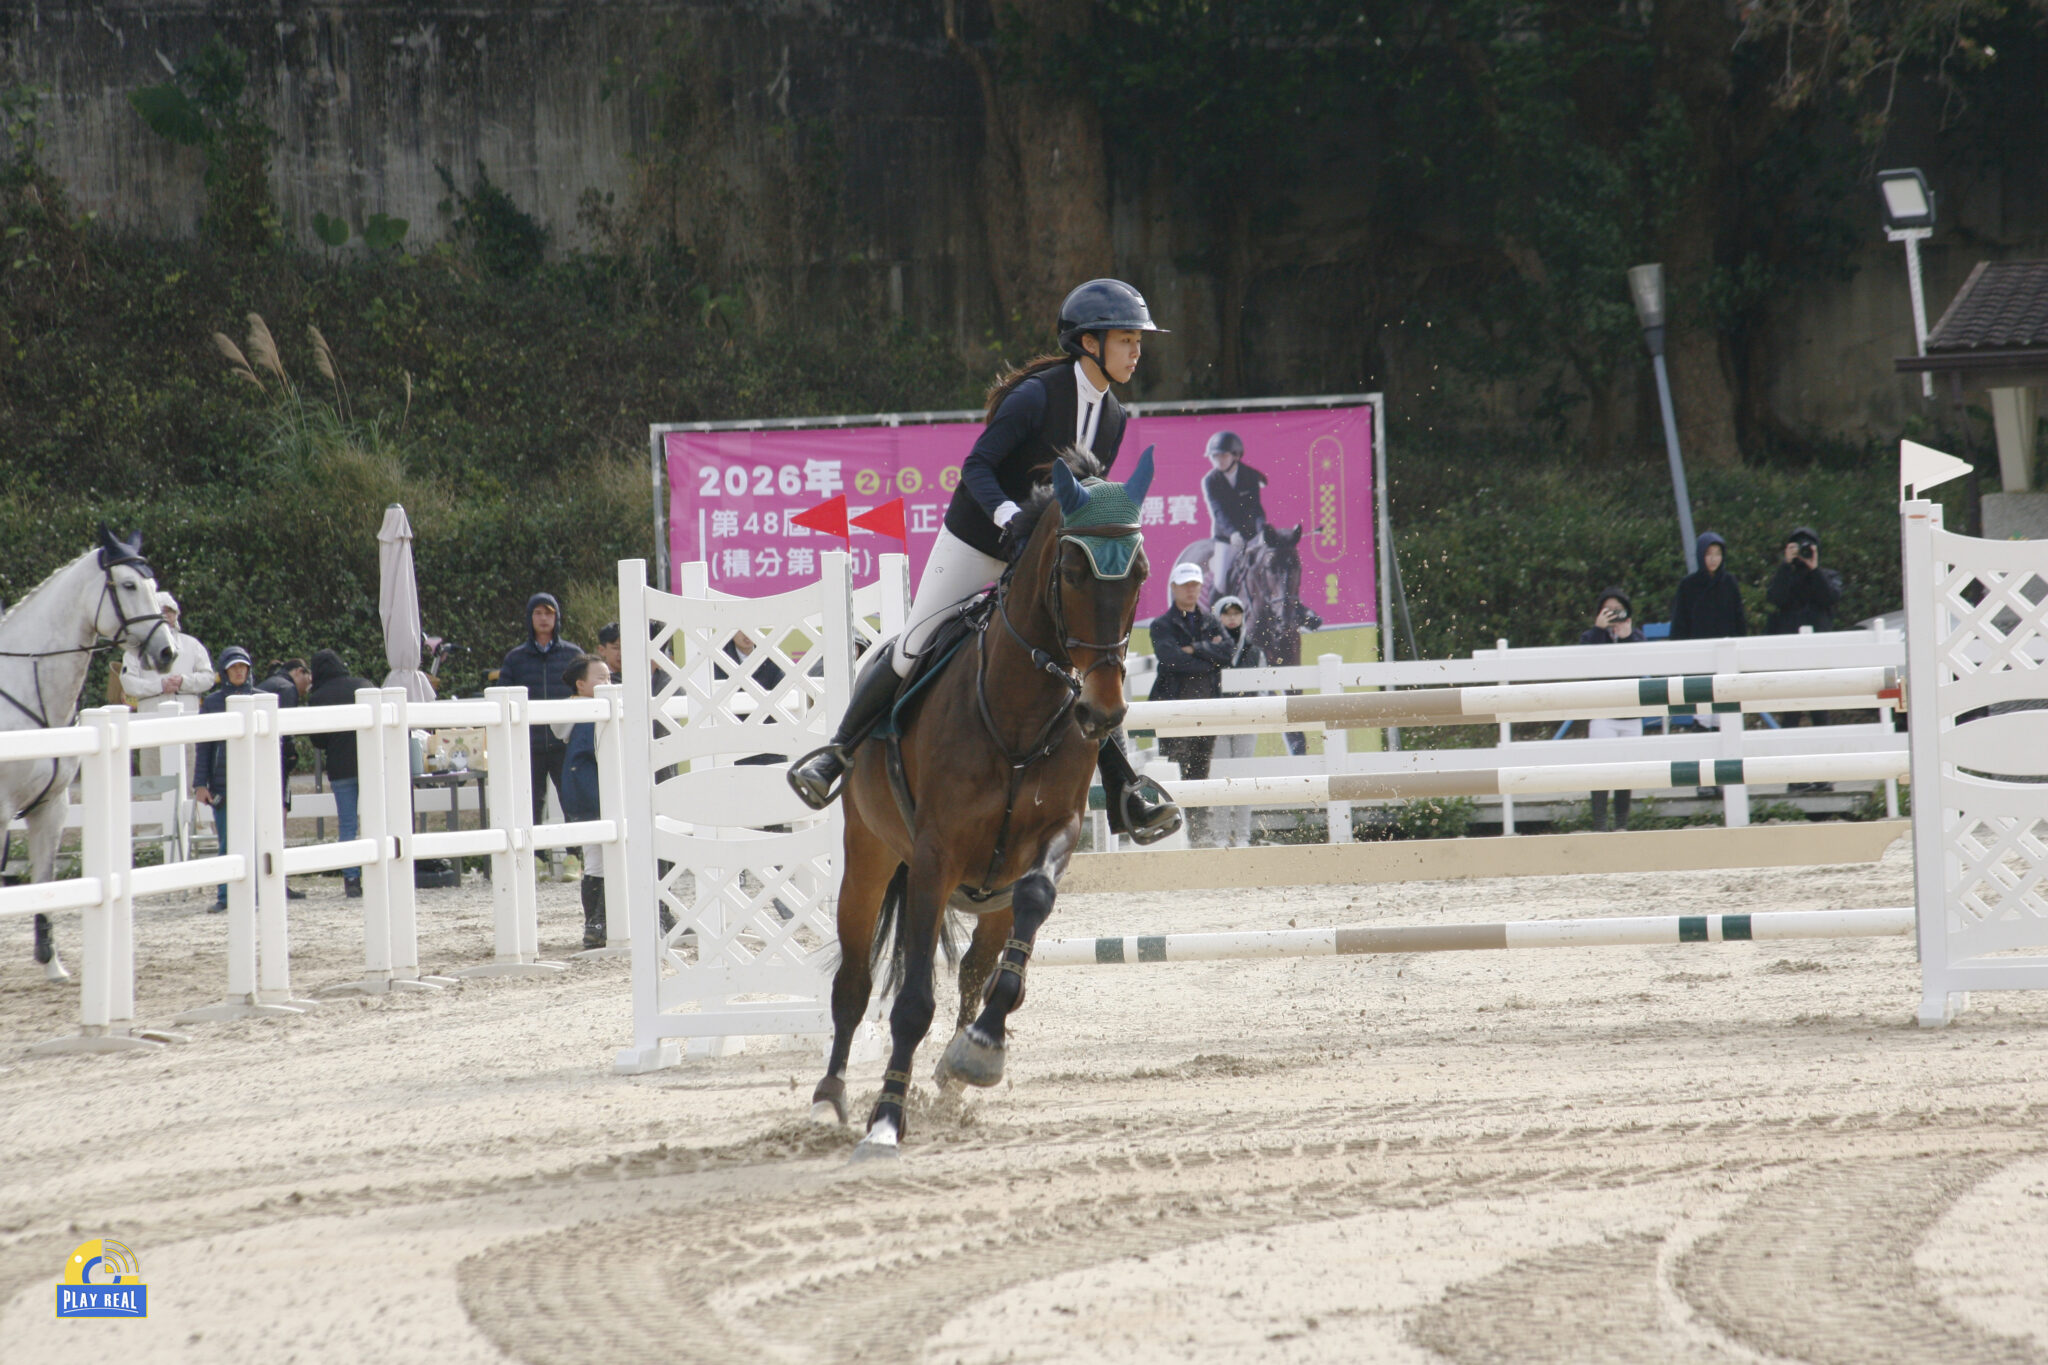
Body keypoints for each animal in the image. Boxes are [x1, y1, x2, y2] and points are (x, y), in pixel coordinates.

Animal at [6, 529, 175, 981]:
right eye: (129, 585)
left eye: (152, 584)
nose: (167, 652)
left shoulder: (51, 807)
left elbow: (45, 885)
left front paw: (51, 963)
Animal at [804, 450, 1154, 1160]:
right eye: (1071, 572)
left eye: (1138, 575)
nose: (1102, 712)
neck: (1020, 710)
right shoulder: (934, 855)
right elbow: (911, 1003)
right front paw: (887, 1120)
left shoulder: (1056, 834)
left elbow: (1029, 918)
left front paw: (980, 1051)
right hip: (869, 860)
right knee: (853, 982)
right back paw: (831, 1098)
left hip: (989, 896)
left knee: (975, 969)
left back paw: (951, 1074)